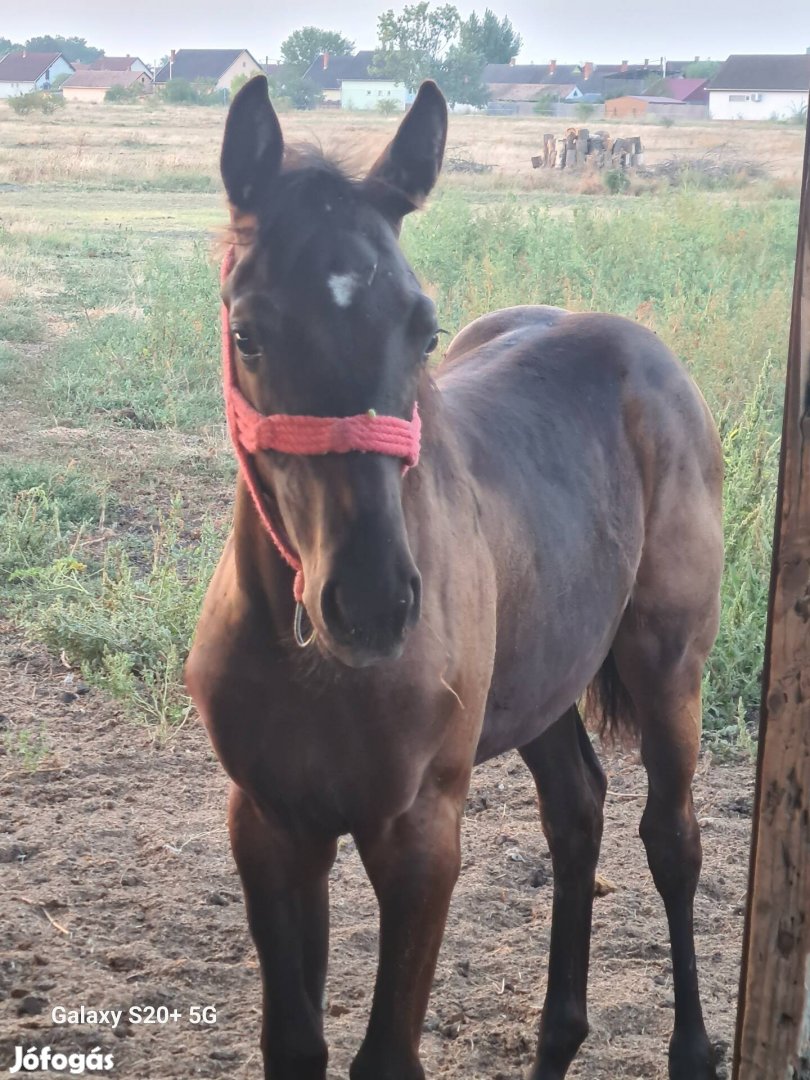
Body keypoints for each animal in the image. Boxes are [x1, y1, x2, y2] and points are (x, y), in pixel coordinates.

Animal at [186, 78, 725, 1080]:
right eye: (248, 332)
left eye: (422, 327)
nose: (371, 603)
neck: (309, 660)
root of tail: (642, 349)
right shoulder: (274, 826)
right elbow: (295, 1044)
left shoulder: (421, 833)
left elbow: (386, 1055)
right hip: (542, 684)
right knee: (577, 812)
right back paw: (559, 1037)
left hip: (670, 667)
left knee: (671, 840)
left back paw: (693, 1050)